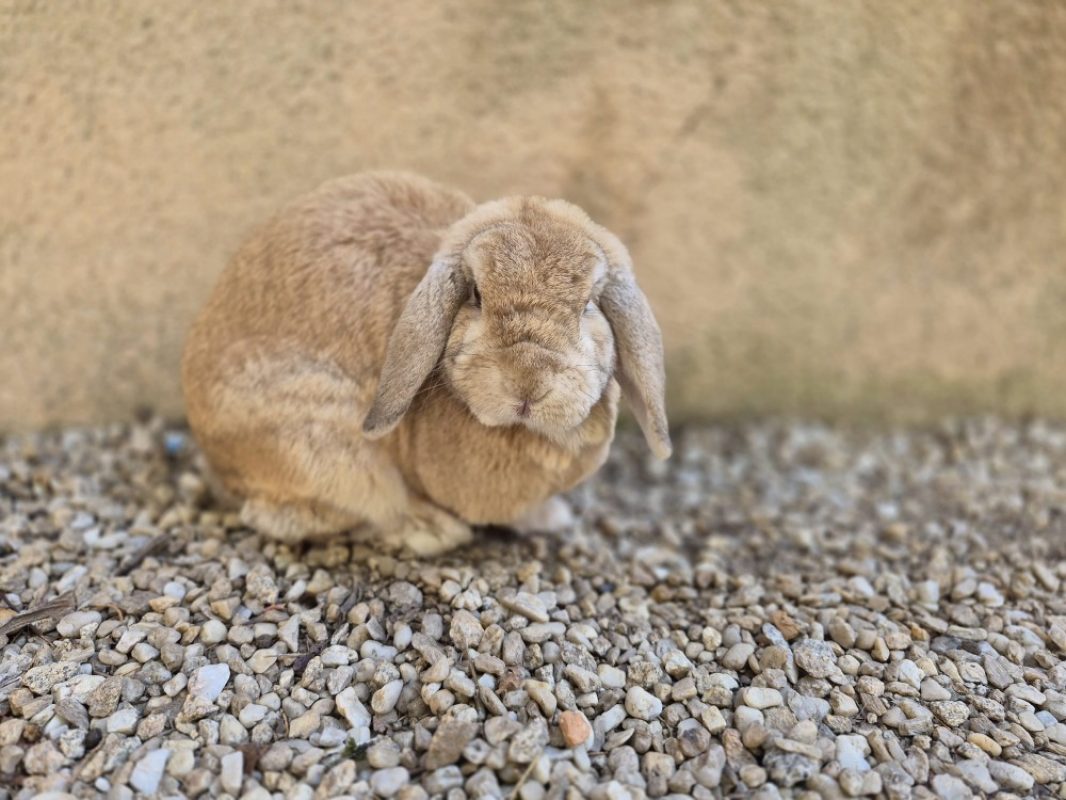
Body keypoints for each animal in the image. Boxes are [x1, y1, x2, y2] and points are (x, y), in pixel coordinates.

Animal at [181, 171, 670, 556]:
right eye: (476, 295)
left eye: (588, 305)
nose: (528, 382)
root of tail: (213, 454)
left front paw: (549, 518)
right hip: (321, 446)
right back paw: (431, 529)